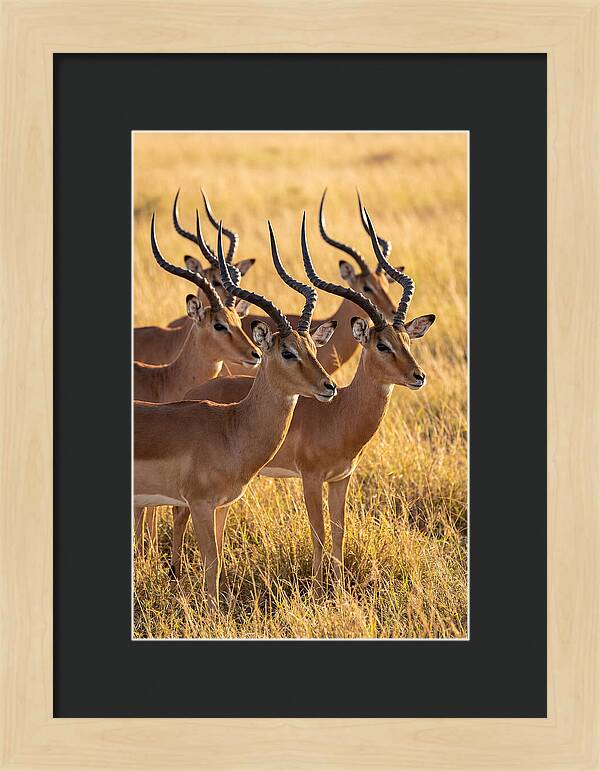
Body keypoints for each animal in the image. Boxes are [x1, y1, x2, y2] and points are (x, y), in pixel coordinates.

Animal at [179, 210, 435, 587]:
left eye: (407, 341)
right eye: (382, 344)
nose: (418, 376)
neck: (341, 413)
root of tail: (196, 392)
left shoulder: (341, 478)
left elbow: (339, 531)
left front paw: (339, 588)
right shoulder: (311, 478)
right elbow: (318, 533)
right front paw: (316, 590)